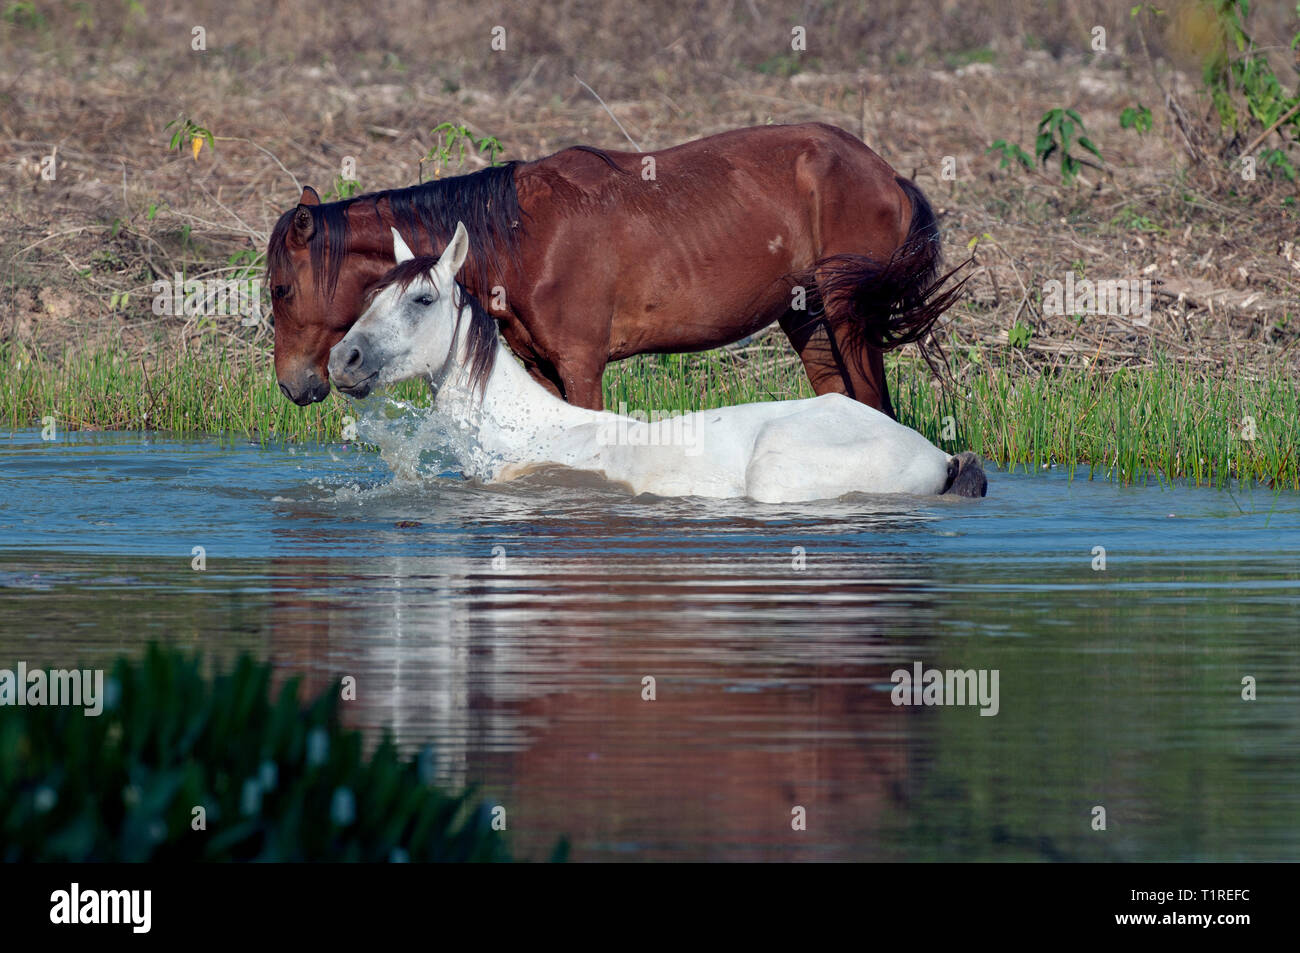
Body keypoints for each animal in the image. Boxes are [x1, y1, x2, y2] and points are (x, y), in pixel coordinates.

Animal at [269, 121, 961, 413]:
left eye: (280, 289)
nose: (296, 385)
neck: (519, 237)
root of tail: (885, 173)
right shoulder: (546, 370)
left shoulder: (582, 366)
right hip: (808, 321)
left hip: (848, 315)